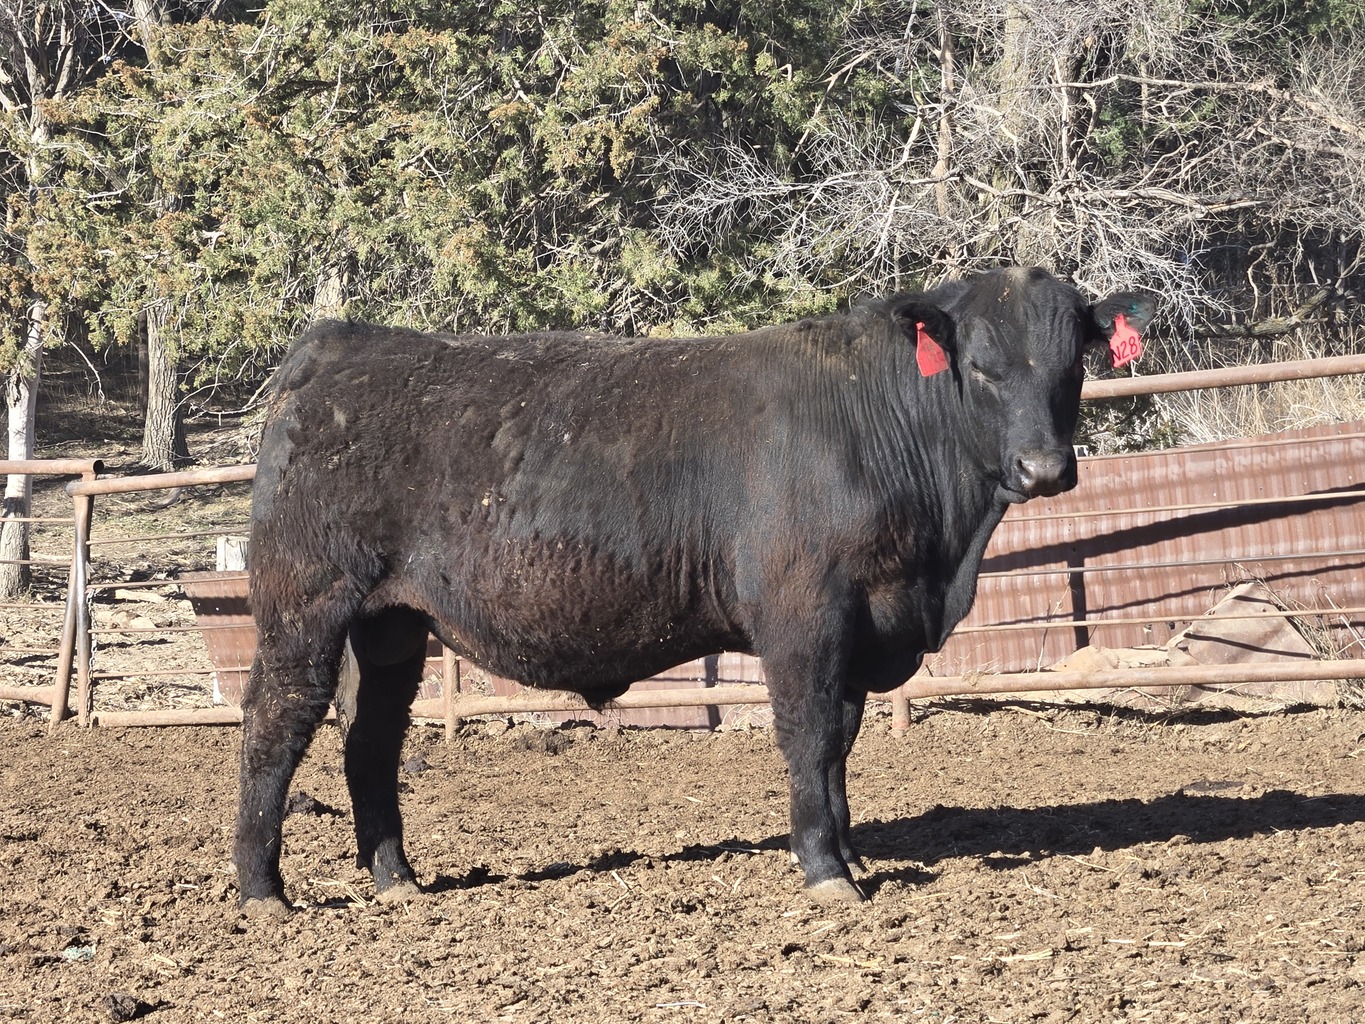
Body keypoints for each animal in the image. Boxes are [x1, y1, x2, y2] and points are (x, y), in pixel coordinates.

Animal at [233, 266, 1156, 915]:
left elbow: (840, 742)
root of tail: (341, 345)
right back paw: (262, 889)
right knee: (278, 718)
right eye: (982, 368)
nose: (1044, 468)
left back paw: (396, 877)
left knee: (372, 738)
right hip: (304, 601)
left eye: (1071, 368)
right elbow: (809, 736)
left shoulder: (859, 628)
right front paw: (826, 871)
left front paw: (850, 853)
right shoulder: (803, 617)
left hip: (391, 621)